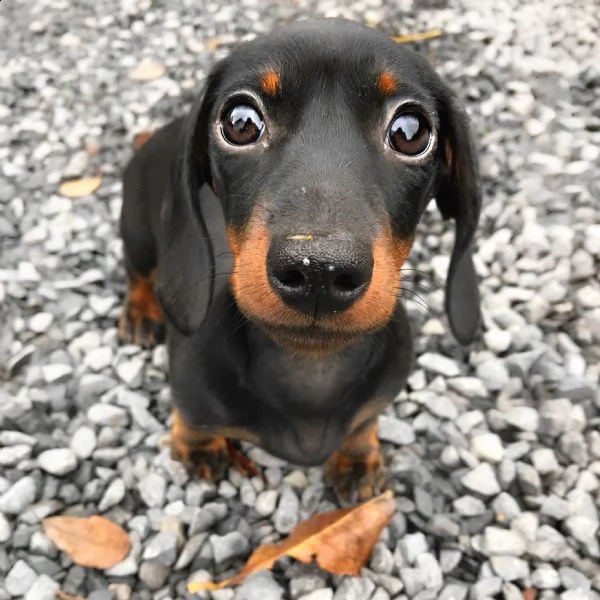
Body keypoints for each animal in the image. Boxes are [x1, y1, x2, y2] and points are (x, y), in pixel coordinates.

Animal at [118, 17, 482, 502]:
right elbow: (194, 421)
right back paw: (141, 311)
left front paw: (358, 459)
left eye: (411, 131)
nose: (319, 271)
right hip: (138, 234)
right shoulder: (190, 387)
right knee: (138, 273)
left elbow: (362, 425)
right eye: (240, 122)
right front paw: (198, 448)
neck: (310, 367)